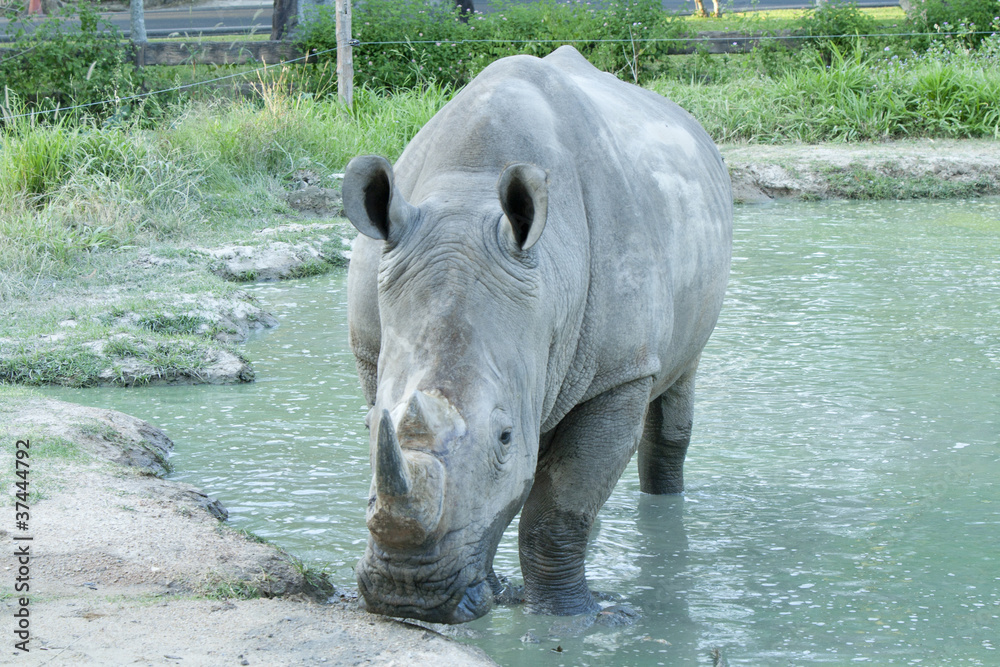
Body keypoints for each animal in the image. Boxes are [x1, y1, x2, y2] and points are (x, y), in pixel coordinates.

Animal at [342, 45, 732, 624]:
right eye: (368, 427)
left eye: (504, 438)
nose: (409, 594)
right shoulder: (371, 349)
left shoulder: (620, 373)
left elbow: (559, 504)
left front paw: (572, 619)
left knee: (678, 382)